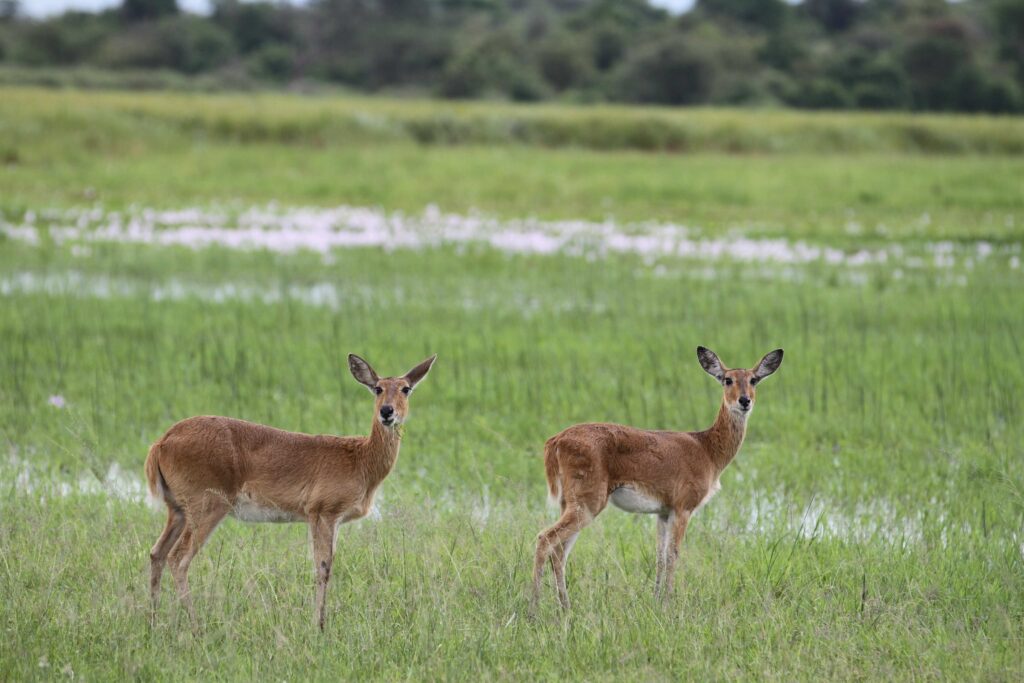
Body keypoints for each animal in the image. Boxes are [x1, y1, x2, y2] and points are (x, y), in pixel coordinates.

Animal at [144, 353, 436, 630]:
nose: (387, 412)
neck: (361, 460)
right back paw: (196, 629)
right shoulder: (323, 513)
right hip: (207, 507)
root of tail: (161, 442)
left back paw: (154, 622)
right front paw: (319, 627)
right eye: (377, 388)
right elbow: (323, 569)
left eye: (406, 388)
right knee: (178, 558)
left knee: (157, 553)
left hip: (178, 510)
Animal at [531, 346, 783, 612]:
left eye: (753, 380)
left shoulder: (663, 512)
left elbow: (659, 556)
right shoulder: (683, 507)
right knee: (544, 538)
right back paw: (533, 610)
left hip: (570, 503)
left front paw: (656, 600)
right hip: (589, 502)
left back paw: (565, 608)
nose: (744, 401)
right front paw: (669, 603)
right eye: (727, 379)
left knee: (559, 551)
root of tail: (555, 441)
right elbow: (674, 554)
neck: (708, 450)